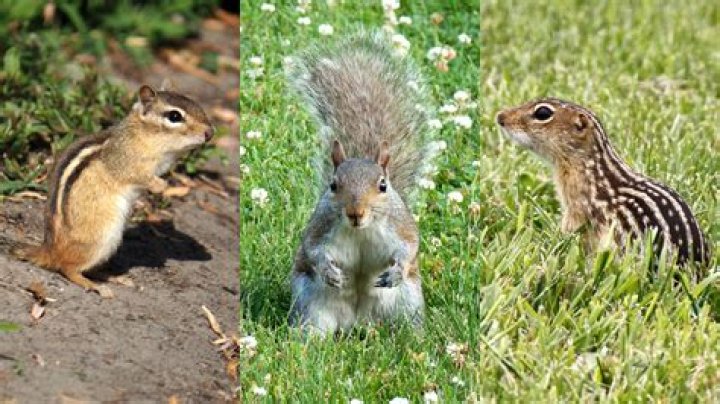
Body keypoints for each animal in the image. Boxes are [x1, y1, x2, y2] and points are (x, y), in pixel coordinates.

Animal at [13, 82, 214, 298]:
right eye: (175, 116)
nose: (210, 133)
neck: (141, 133)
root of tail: (49, 249)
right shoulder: (125, 162)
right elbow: (138, 176)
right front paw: (161, 186)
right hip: (102, 238)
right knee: (67, 267)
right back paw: (95, 286)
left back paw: (113, 277)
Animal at [286, 32, 435, 334]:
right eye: (333, 185)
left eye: (383, 186)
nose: (355, 213)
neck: (361, 231)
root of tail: (357, 323)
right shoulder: (320, 227)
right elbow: (313, 249)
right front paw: (329, 271)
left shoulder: (400, 226)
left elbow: (410, 246)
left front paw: (395, 271)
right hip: (311, 304)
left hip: (408, 302)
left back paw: (417, 339)